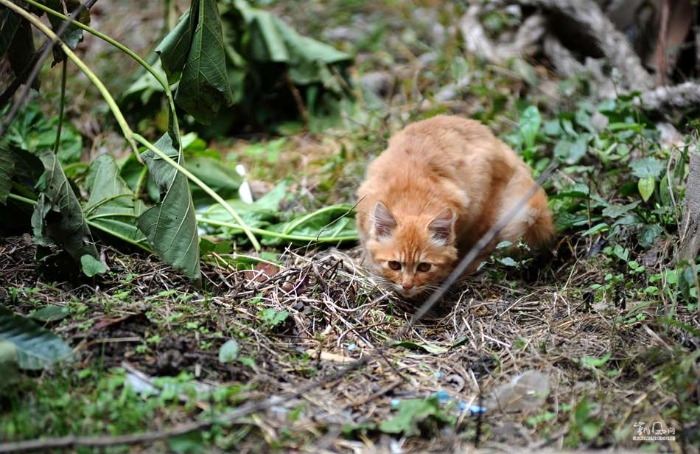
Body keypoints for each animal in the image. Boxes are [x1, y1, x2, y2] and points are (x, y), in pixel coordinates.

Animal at [358, 115, 556, 298]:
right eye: (394, 265)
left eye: (424, 267)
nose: (407, 286)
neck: (411, 197)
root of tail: (500, 145)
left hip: (485, 213)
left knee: (488, 247)